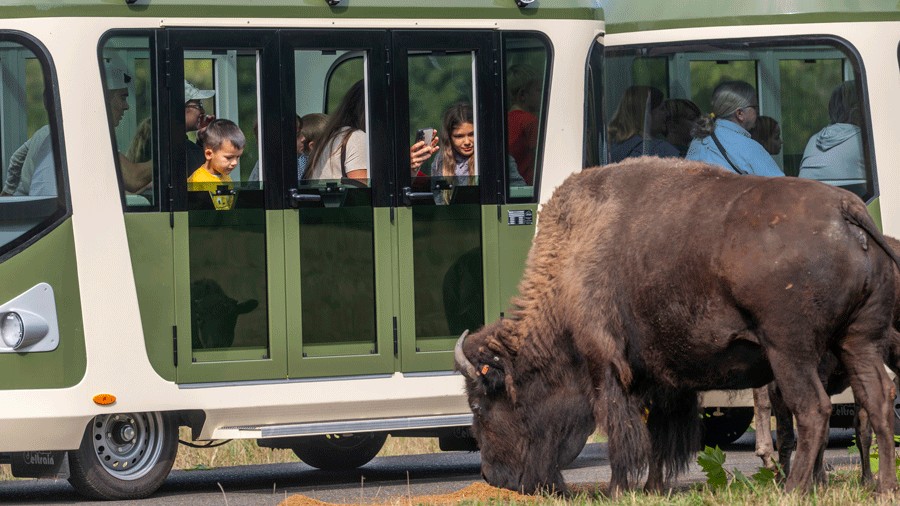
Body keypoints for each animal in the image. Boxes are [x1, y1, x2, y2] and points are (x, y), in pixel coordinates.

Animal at [455, 157, 900, 495]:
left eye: (479, 404)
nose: (492, 476)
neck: (570, 265)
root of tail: (846, 209)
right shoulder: (660, 377)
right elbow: (657, 436)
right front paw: (652, 487)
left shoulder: (606, 366)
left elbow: (621, 433)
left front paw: (618, 490)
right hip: (858, 342)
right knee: (877, 401)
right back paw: (882, 488)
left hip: (791, 350)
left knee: (813, 410)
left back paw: (793, 489)